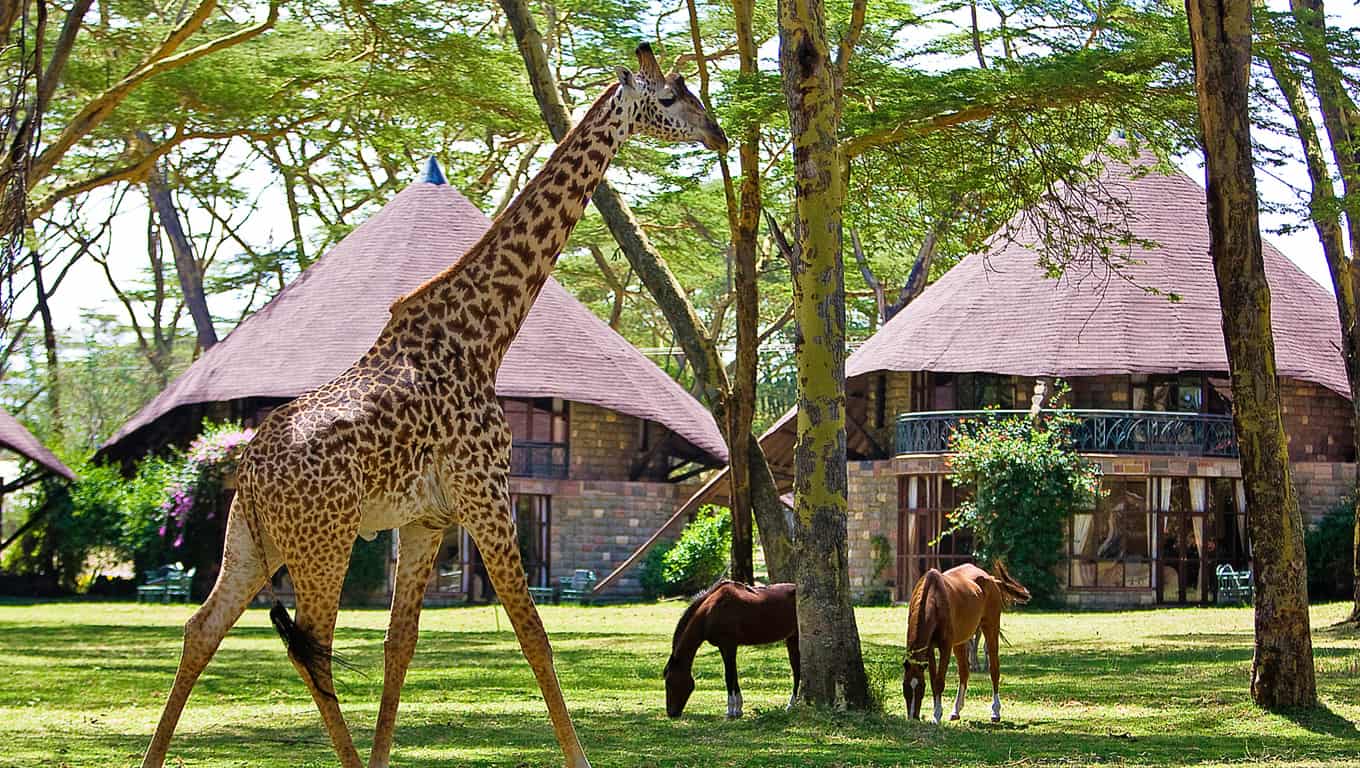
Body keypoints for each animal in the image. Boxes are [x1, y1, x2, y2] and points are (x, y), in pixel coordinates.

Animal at [140, 44, 723, 766]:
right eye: (670, 98)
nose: (718, 132)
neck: (484, 336)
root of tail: (246, 474)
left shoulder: (428, 519)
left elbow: (401, 646)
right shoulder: (486, 494)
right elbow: (534, 636)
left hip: (250, 541)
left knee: (201, 629)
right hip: (322, 542)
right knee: (312, 649)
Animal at [660, 581, 794, 717]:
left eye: (669, 682)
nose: (671, 713)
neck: (710, 612)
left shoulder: (728, 646)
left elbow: (729, 676)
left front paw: (730, 711)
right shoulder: (725, 647)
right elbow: (734, 675)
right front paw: (738, 709)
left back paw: (791, 704)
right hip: (792, 638)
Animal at [903, 560, 1028, 723]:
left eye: (920, 688)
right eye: (905, 687)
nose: (912, 717)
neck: (934, 597)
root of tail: (991, 579)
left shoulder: (946, 646)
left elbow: (939, 681)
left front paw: (936, 716)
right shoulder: (929, 649)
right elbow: (933, 679)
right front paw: (937, 712)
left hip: (990, 629)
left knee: (994, 669)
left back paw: (995, 711)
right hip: (960, 642)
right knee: (964, 672)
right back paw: (956, 710)